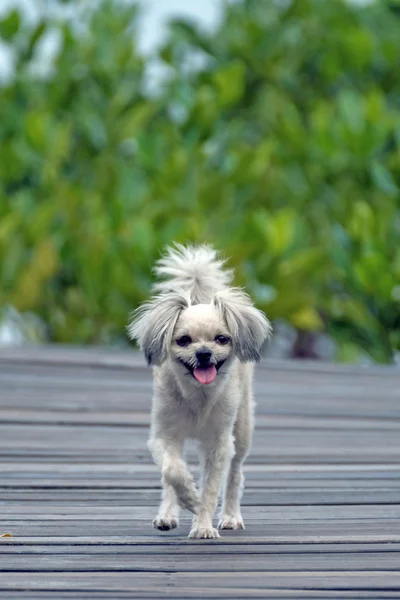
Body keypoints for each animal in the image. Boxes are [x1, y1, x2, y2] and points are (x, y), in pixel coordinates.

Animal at [128, 244, 272, 540]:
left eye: (222, 339)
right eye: (183, 340)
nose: (204, 353)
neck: (197, 396)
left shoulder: (219, 445)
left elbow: (211, 488)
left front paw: (203, 525)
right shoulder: (164, 437)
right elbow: (173, 472)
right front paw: (189, 498)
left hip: (242, 431)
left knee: (235, 474)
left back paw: (230, 516)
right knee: (170, 480)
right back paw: (167, 515)